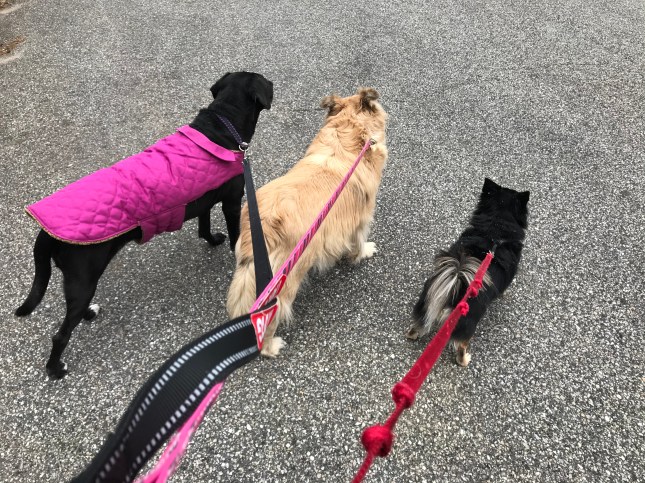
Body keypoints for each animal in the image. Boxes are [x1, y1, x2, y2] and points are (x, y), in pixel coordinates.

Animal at [15, 71, 273, 379]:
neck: (222, 124)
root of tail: (45, 233)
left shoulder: (203, 198)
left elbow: (203, 227)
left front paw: (211, 240)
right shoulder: (232, 202)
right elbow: (235, 235)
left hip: (77, 281)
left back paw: (89, 314)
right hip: (83, 278)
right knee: (60, 334)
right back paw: (56, 369)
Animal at [226, 87, 388, 357]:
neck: (348, 132)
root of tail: (266, 222)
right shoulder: (361, 215)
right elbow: (359, 239)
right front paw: (363, 252)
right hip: (288, 277)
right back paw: (271, 346)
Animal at [406, 178, 529, 366]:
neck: (495, 232)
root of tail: (453, 293)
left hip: (425, 303)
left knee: (417, 326)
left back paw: (412, 334)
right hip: (468, 324)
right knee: (461, 346)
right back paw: (464, 360)